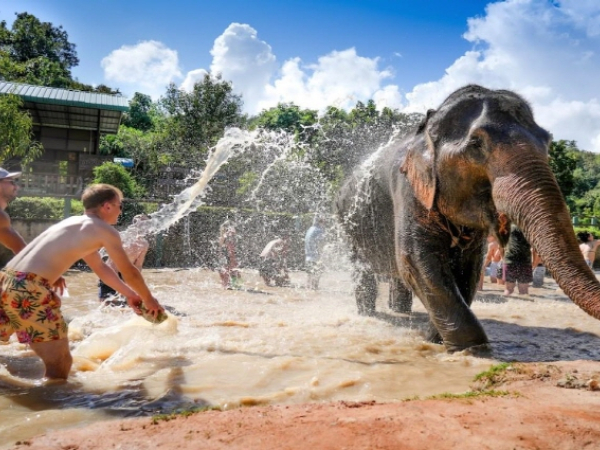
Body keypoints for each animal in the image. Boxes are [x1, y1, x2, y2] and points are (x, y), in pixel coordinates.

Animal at [336, 83, 600, 352]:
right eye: (476, 144)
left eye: (547, 141)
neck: (427, 128)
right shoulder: (407, 187)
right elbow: (416, 258)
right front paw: (472, 348)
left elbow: (469, 265)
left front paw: (435, 337)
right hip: (348, 223)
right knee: (364, 269)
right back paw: (369, 314)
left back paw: (402, 314)